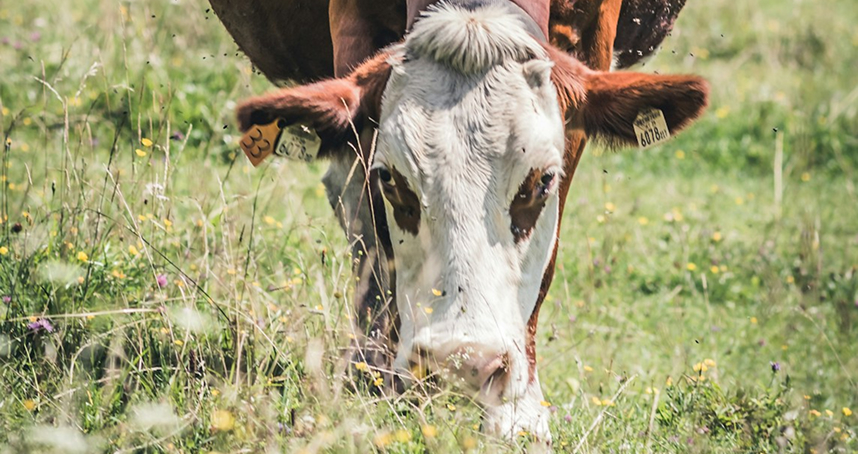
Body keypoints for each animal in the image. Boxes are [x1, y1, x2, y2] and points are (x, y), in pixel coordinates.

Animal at [212, 0, 706, 442]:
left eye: (543, 180)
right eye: (390, 178)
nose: (462, 362)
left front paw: (517, 414)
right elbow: (375, 239)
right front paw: (377, 381)